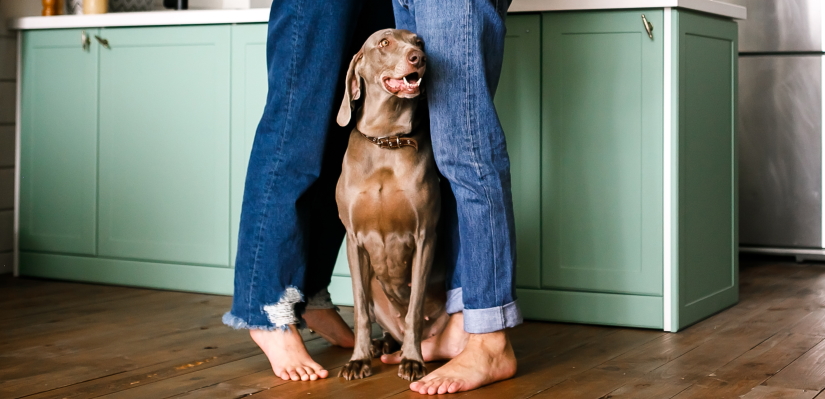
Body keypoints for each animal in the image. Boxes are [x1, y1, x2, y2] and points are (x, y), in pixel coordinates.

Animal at [336, 29, 450, 382]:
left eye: (419, 42)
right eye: (384, 43)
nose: (419, 58)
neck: (386, 141)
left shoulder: (425, 236)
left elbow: (413, 309)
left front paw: (412, 361)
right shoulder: (354, 239)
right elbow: (359, 310)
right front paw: (358, 359)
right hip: (375, 286)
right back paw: (380, 344)